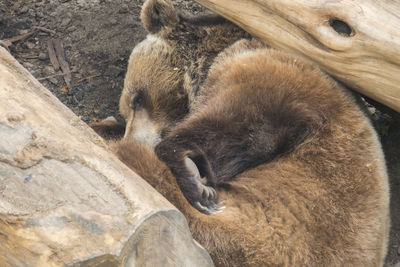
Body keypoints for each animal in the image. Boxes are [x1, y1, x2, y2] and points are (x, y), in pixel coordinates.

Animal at [92, 1, 390, 266]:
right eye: (129, 106)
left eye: (137, 99)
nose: (133, 136)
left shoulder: (274, 77)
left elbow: (240, 128)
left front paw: (191, 175)